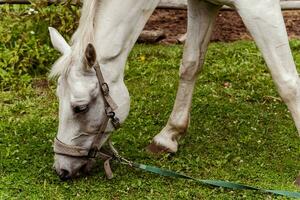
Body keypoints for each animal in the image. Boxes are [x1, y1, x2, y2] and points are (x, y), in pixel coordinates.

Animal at [49, 0, 300, 180]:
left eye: (80, 107)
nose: (62, 170)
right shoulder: (204, 4)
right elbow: (190, 65)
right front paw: (168, 136)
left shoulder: (260, 9)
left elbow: (287, 83)